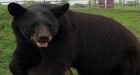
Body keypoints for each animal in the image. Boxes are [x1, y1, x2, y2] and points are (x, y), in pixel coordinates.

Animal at [8, 2, 140, 75]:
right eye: (32, 25)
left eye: (50, 25)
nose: (44, 38)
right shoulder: (24, 41)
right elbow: (19, 58)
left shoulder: (66, 38)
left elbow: (52, 64)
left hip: (127, 59)